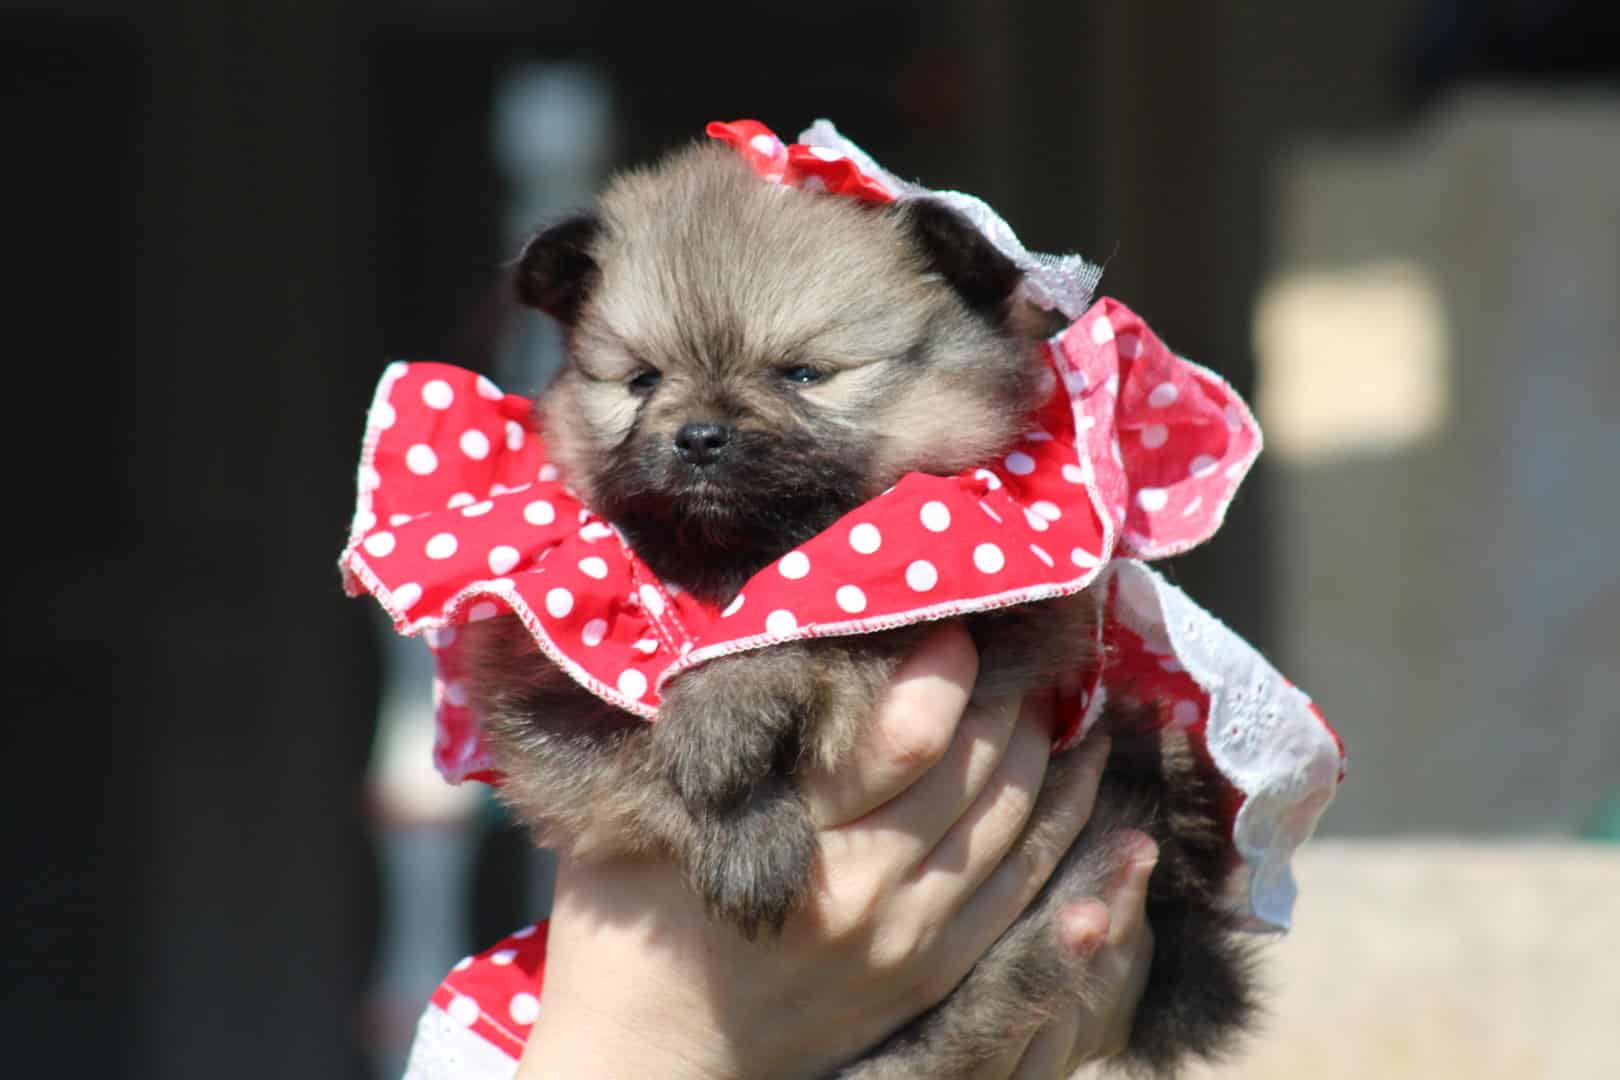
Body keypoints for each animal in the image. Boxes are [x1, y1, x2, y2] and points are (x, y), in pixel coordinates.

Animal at [463, 141, 1257, 1075]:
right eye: (641, 381)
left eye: (805, 373)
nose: (697, 436)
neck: (726, 563)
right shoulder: (544, 701)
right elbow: (631, 760)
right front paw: (745, 832)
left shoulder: (985, 610)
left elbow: (810, 624)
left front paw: (723, 709)